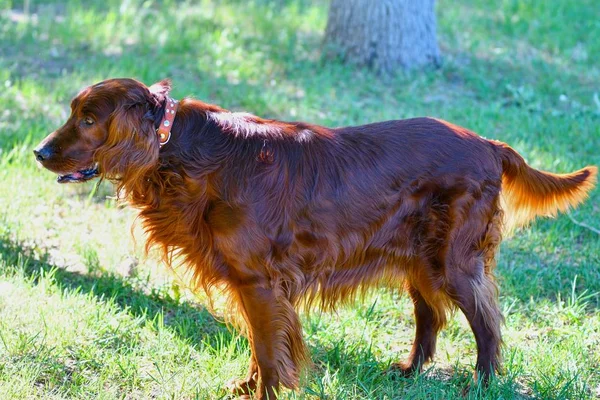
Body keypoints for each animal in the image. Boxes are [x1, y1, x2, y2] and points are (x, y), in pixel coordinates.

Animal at [35, 77, 596, 396]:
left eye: (89, 118)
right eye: (74, 112)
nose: (40, 152)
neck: (185, 149)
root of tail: (489, 144)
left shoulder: (258, 282)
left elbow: (267, 347)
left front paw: (265, 392)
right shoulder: (260, 286)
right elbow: (263, 344)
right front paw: (251, 387)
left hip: (452, 261)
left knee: (486, 321)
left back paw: (481, 383)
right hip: (418, 258)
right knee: (430, 316)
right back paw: (409, 372)